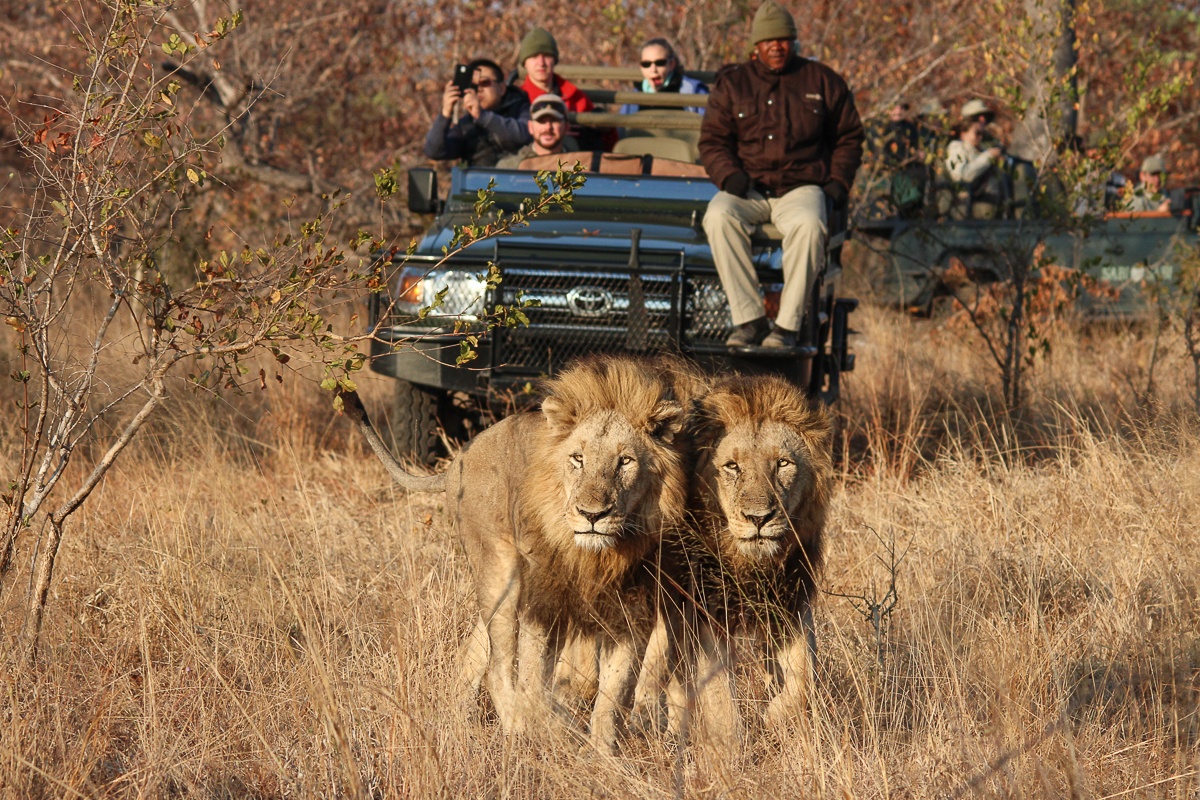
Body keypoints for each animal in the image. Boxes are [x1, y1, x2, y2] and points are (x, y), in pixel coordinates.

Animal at [340, 355, 695, 754]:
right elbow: (533, 683)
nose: (592, 514)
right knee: (498, 668)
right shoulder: (543, 604)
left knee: (474, 654)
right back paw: (516, 731)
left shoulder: (631, 611)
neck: (595, 557)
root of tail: (460, 456)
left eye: (625, 461)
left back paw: (459, 726)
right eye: (577, 459)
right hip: (501, 574)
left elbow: (613, 694)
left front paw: (605, 756)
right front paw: (556, 728)